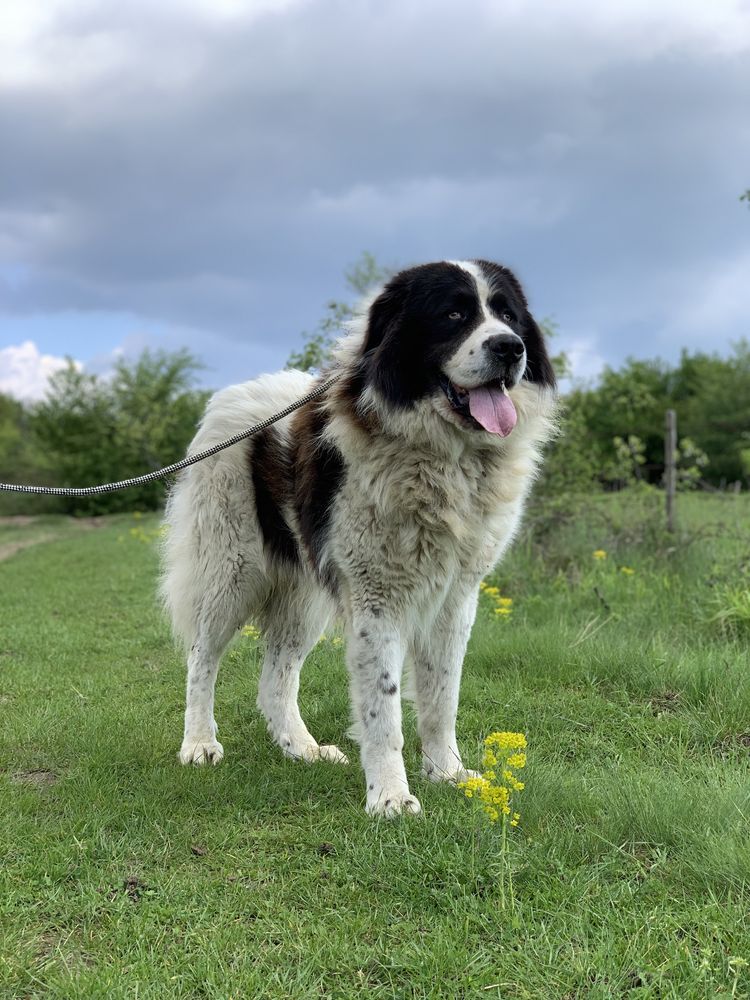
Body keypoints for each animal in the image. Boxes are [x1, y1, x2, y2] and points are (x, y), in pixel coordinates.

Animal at [160, 262, 560, 816]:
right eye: (453, 315)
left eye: (507, 315)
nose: (509, 347)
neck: (444, 457)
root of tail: (235, 394)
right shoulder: (377, 598)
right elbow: (383, 707)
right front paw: (390, 796)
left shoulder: (456, 599)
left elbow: (442, 697)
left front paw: (447, 773)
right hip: (232, 570)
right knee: (202, 658)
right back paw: (199, 743)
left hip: (303, 595)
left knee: (275, 677)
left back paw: (302, 749)